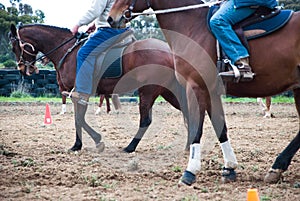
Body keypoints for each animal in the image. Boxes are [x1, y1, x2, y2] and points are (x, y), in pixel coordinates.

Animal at [8, 24, 188, 154]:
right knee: (187, 112)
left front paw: (95, 140)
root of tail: (170, 51)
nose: (22, 68)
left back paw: (130, 147)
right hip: (168, 92)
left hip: (148, 91)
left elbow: (79, 119)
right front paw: (78, 145)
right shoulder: (76, 93)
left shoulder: (79, 92)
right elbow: (78, 119)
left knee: (146, 121)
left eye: (14, 47)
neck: (68, 51)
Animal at [108, 0, 300, 185]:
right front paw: (229, 168)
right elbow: (220, 127)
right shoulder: (211, 92)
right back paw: (276, 168)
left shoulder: (195, 87)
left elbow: (196, 128)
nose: (111, 18)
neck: (193, 25)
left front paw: (190, 171)